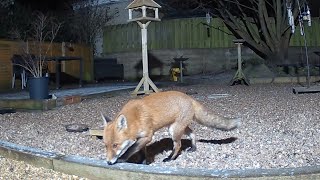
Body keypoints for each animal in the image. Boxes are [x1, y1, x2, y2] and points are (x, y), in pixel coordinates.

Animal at [102, 90, 240, 165]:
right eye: (105, 146)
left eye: (115, 145)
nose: (108, 162)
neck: (135, 118)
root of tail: (189, 98)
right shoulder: (141, 138)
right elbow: (141, 150)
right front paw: (144, 161)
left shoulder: (148, 136)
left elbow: (132, 149)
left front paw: (122, 159)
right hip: (178, 127)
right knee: (193, 133)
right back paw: (193, 148)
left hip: (174, 130)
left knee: (178, 145)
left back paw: (170, 158)